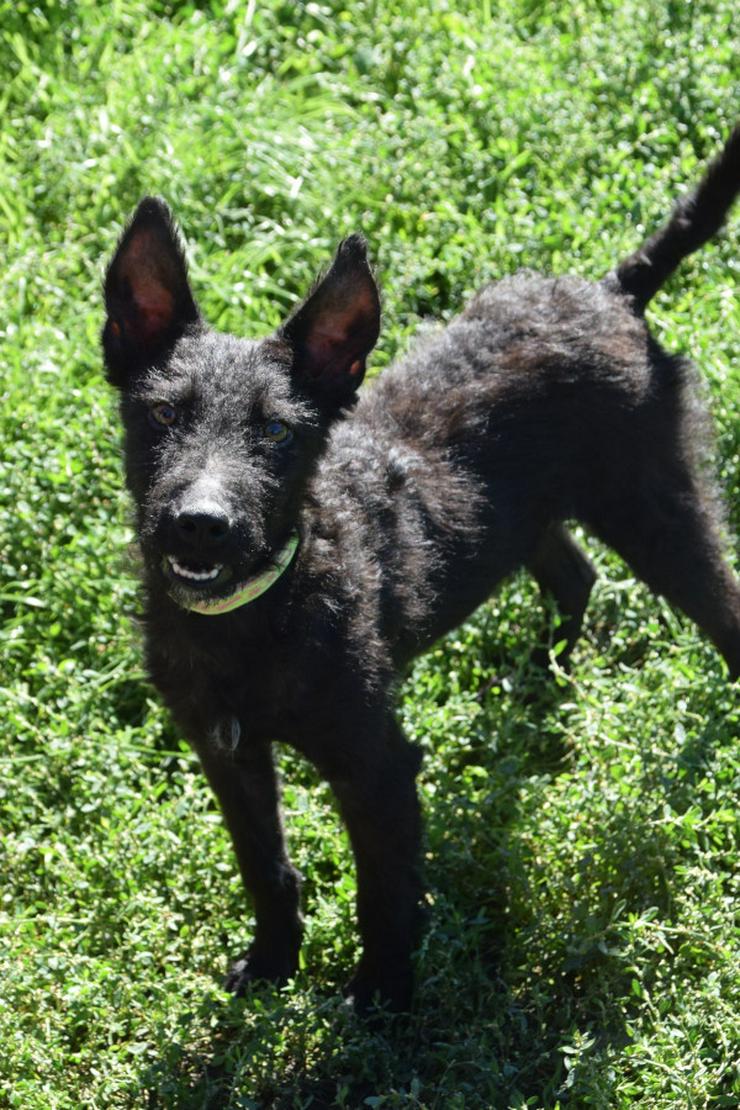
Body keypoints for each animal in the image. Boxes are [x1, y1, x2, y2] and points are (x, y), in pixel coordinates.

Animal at [104, 125, 740, 1012]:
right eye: (162, 413)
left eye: (277, 432)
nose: (201, 526)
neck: (263, 611)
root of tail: (614, 294)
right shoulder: (224, 751)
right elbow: (265, 867)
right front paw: (272, 963)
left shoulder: (376, 768)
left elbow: (383, 893)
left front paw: (381, 994)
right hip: (527, 517)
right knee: (575, 577)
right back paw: (544, 681)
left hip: (656, 510)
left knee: (724, 612)